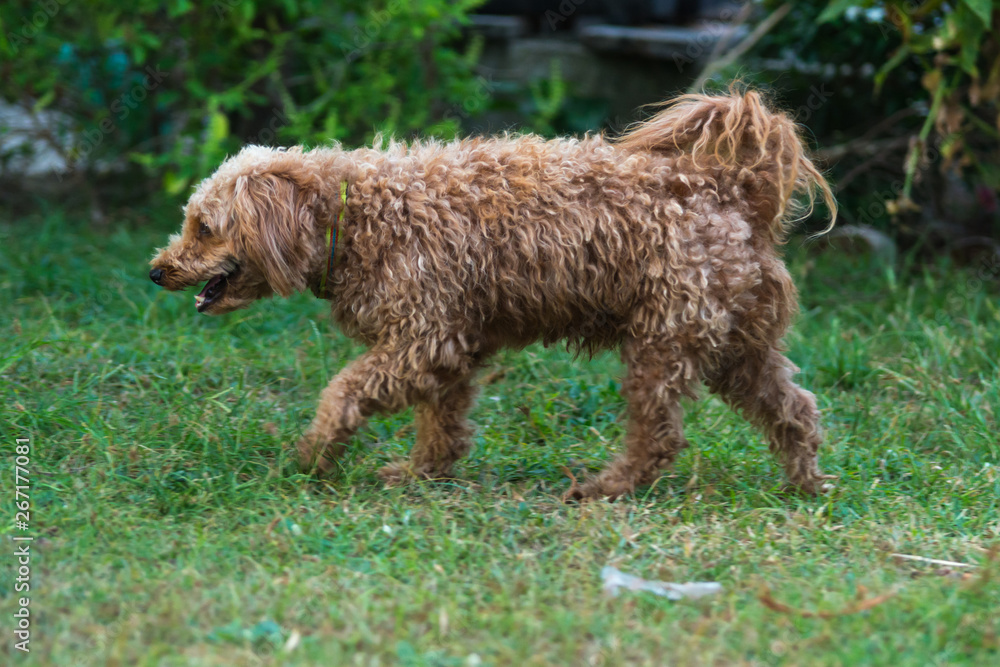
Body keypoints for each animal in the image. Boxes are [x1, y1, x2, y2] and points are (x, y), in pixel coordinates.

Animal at [150, 90, 837, 500]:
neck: (354, 215)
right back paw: (807, 485)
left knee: (660, 435)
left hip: (664, 343)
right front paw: (421, 474)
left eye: (203, 227)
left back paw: (604, 489)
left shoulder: (420, 337)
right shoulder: (449, 345)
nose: (156, 271)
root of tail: (731, 190)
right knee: (795, 409)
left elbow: (342, 393)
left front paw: (314, 456)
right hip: (735, 346)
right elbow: (443, 422)